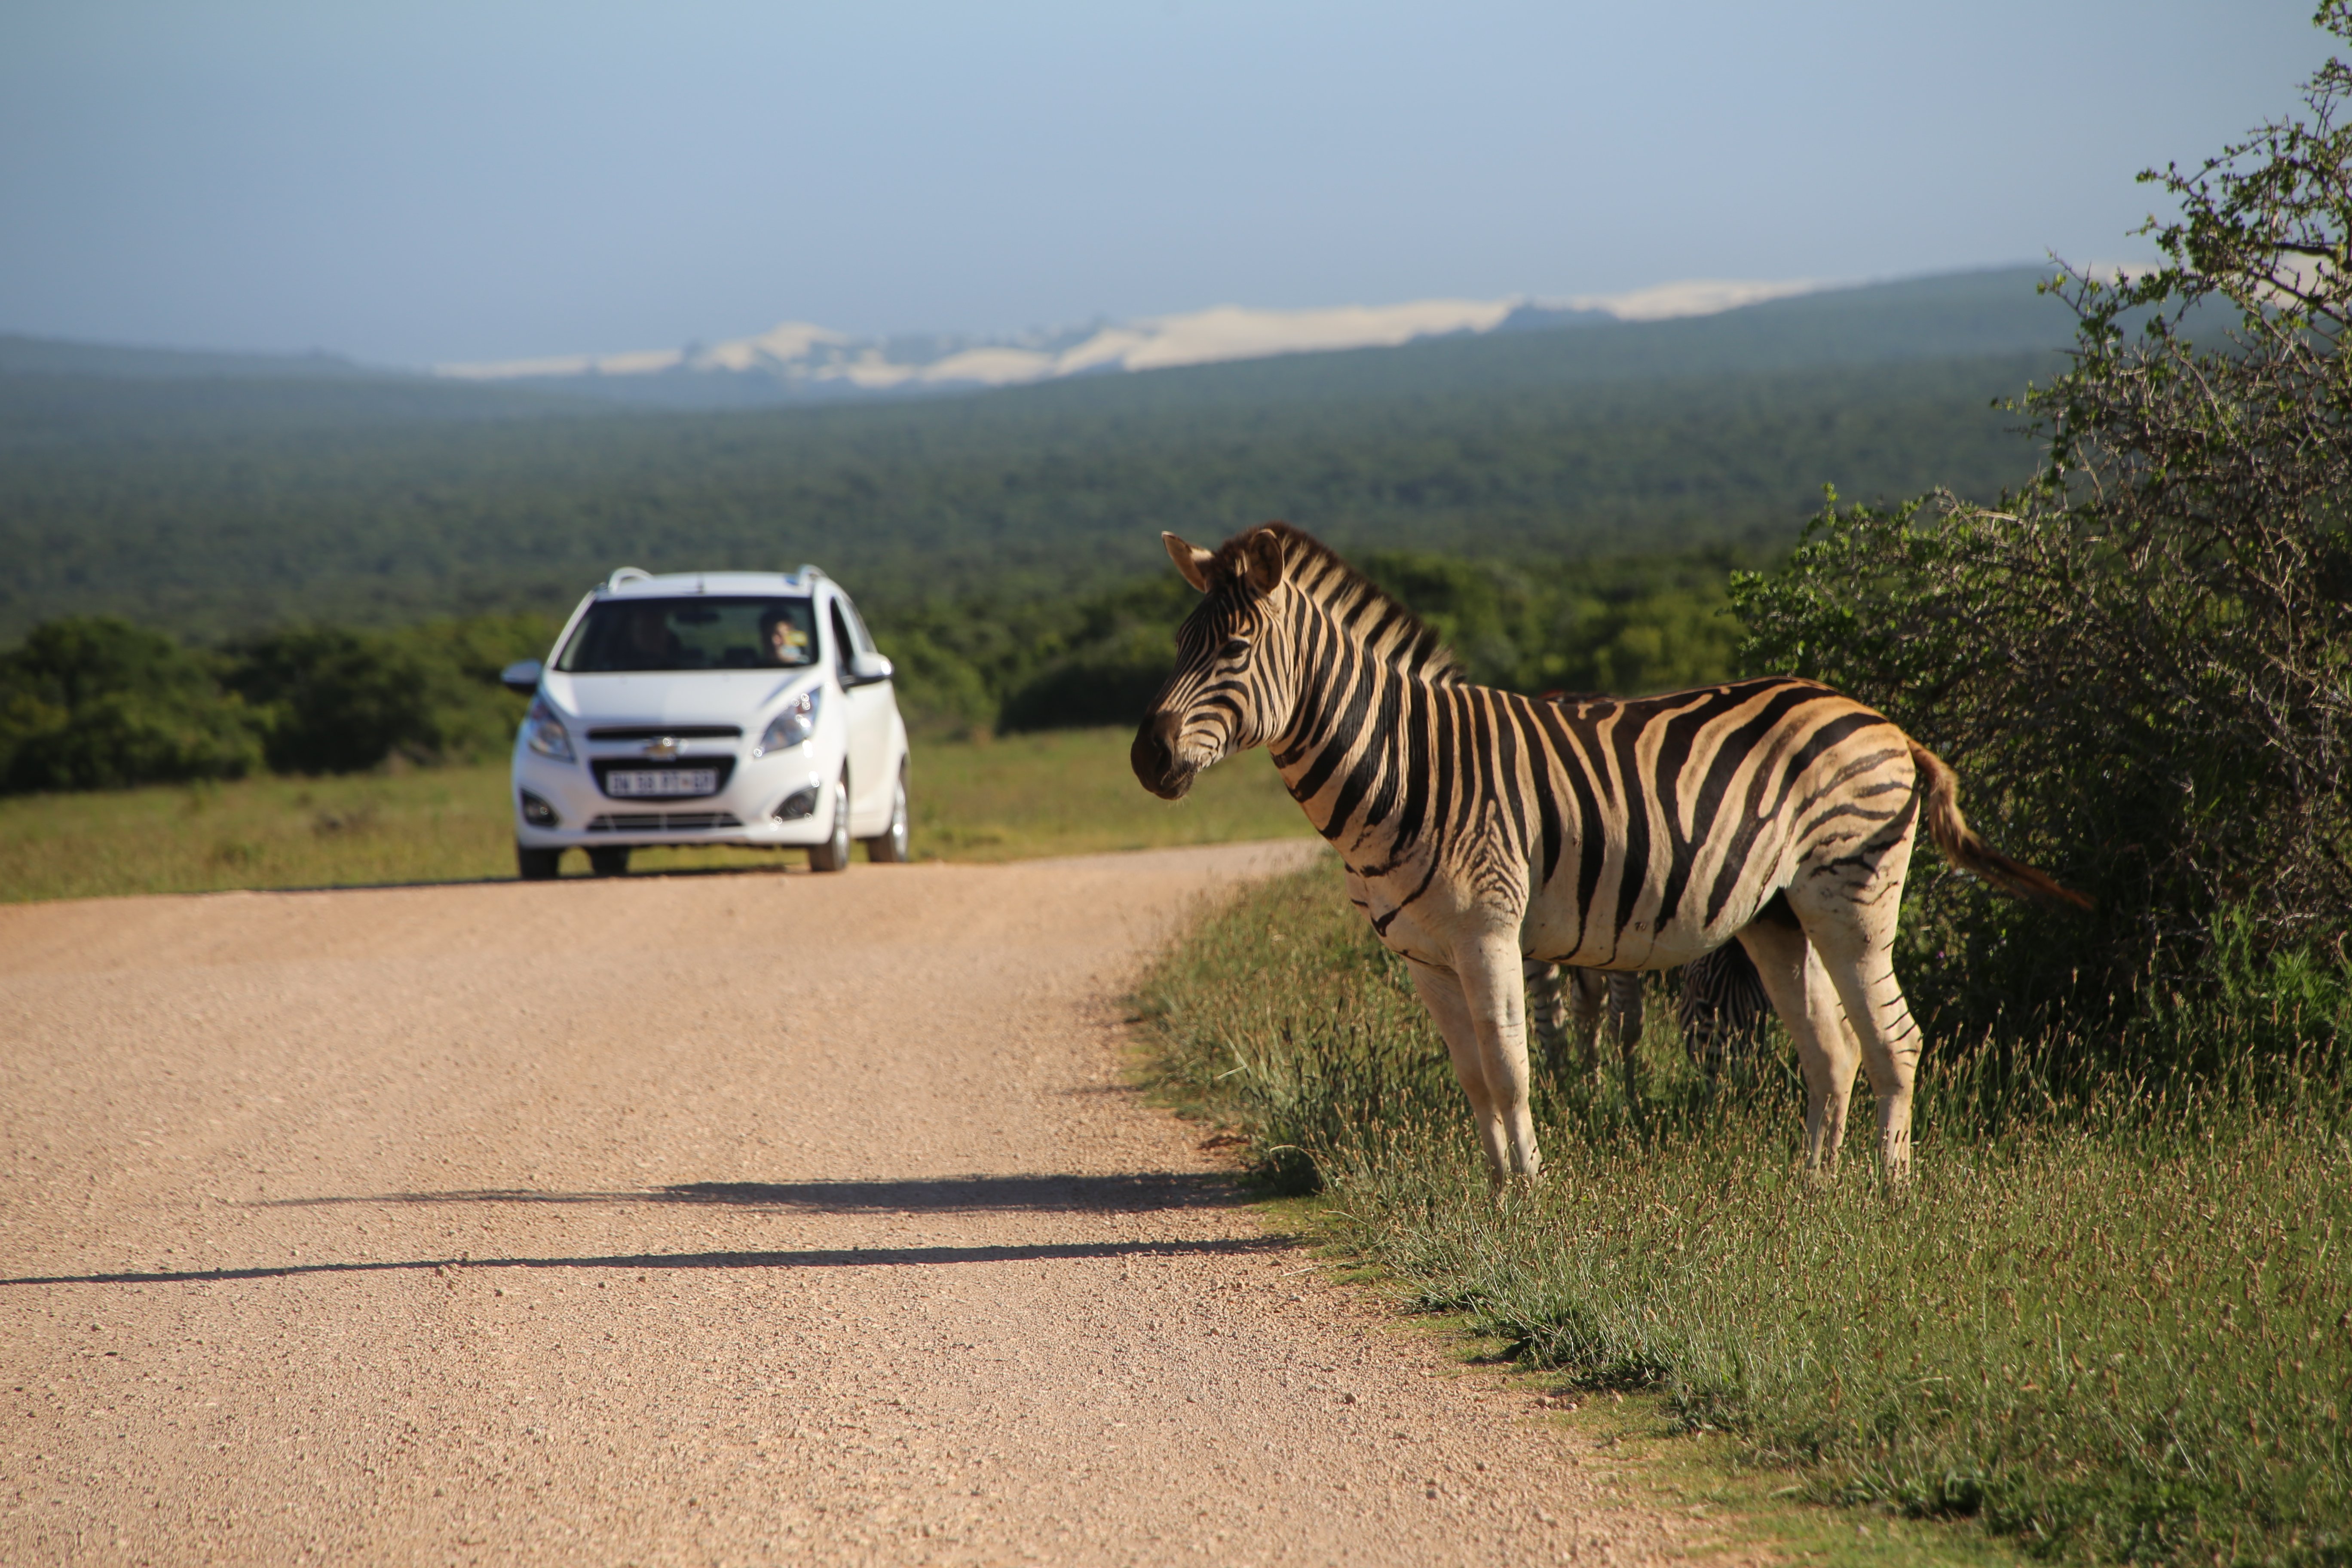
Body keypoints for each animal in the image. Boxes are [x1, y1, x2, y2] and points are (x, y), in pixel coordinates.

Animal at [1129, 522, 2089, 1185]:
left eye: (1236, 648)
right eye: (1176, 646)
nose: (1145, 758)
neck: (1405, 765)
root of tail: (1884, 722)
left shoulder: (1488, 929)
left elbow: (1513, 1071)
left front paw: (1530, 1195)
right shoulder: (1422, 955)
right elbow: (1474, 1079)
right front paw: (1495, 1195)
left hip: (1852, 898)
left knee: (1897, 1041)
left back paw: (1887, 1196)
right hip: (1777, 916)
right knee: (1833, 1050)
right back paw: (1809, 1191)